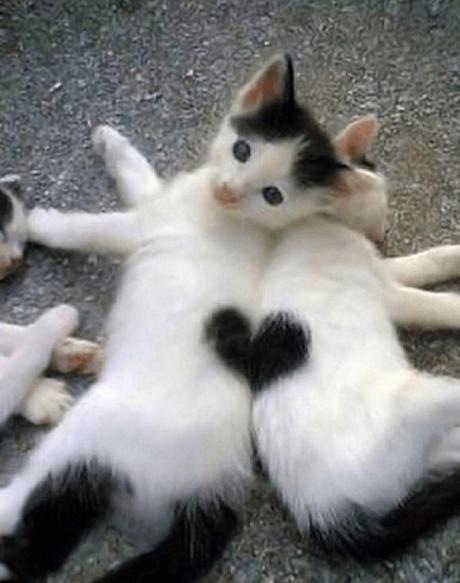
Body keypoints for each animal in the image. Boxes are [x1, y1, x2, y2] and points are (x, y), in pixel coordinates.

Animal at [0, 56, 348, 583]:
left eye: (272, 195)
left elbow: (87, 228)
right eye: (242, 150)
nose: (227, 190)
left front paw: (33, 221)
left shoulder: (141, 228)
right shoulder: (158, 198)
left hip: (85, 438)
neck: (218, 210)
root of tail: (210, 490)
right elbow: (138, 171)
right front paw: (109, 140)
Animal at [210, 57, 460, 560]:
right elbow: (431, 295)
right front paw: (456, 300)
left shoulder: (384, 269)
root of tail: (322, 511)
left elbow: (429, 260)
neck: (318, 223)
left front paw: (455, 256)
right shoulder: (386, 287)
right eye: (380, 203)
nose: (383, 232)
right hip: (418, 405)